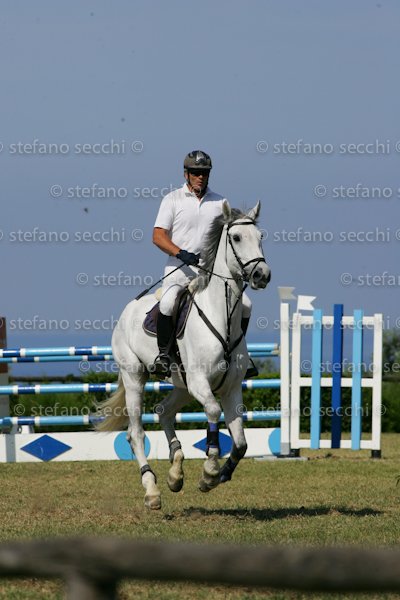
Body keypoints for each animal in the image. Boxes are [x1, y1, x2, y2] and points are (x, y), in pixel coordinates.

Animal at [96, 200, 271, 509]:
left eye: (260, 237)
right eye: (237, 238)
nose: (262, 275)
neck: (222, 315)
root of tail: (128, 310)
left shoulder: (230, 388)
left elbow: (240, 443)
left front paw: (218, 476)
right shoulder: (201, 382)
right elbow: (212, 412)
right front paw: (210, 470)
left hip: (182, 387)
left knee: (163, 412)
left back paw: (175, 473)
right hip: (135, 378)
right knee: (136, 433)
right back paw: (152, 490)